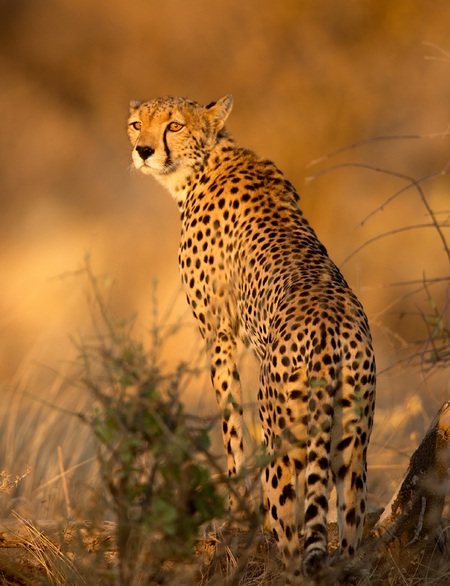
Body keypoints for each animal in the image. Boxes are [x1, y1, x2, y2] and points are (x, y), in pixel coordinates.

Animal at [127, 96, 376, 580]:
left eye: (173, 126)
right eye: (135, 124)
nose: (143, 151)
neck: (206, 162)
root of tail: (328, 332)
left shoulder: (218, 334)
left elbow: (230, 423)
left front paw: (232, 511)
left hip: (286, 439)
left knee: (290, 533)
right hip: (352, 442)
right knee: (350, 527)